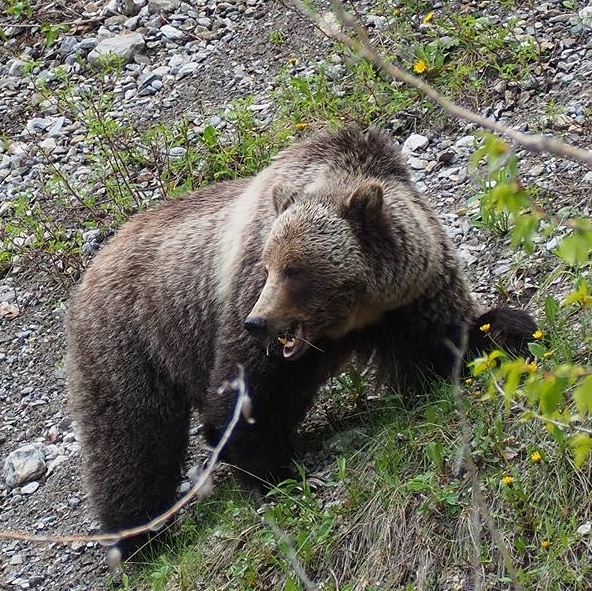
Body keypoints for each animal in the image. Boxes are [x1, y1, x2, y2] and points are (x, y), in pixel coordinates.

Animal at [66, 125, 536, 552]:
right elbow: (249, 391)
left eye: (295, 270)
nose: (258, 321)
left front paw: (510, 331)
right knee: (132, 440)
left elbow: (446, 341)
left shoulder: (411, 295)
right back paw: (136, 536)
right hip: (131, 343)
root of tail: (89, 271)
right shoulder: (247, 302)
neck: (354, 314)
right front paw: (269, 469)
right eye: (269, 265)